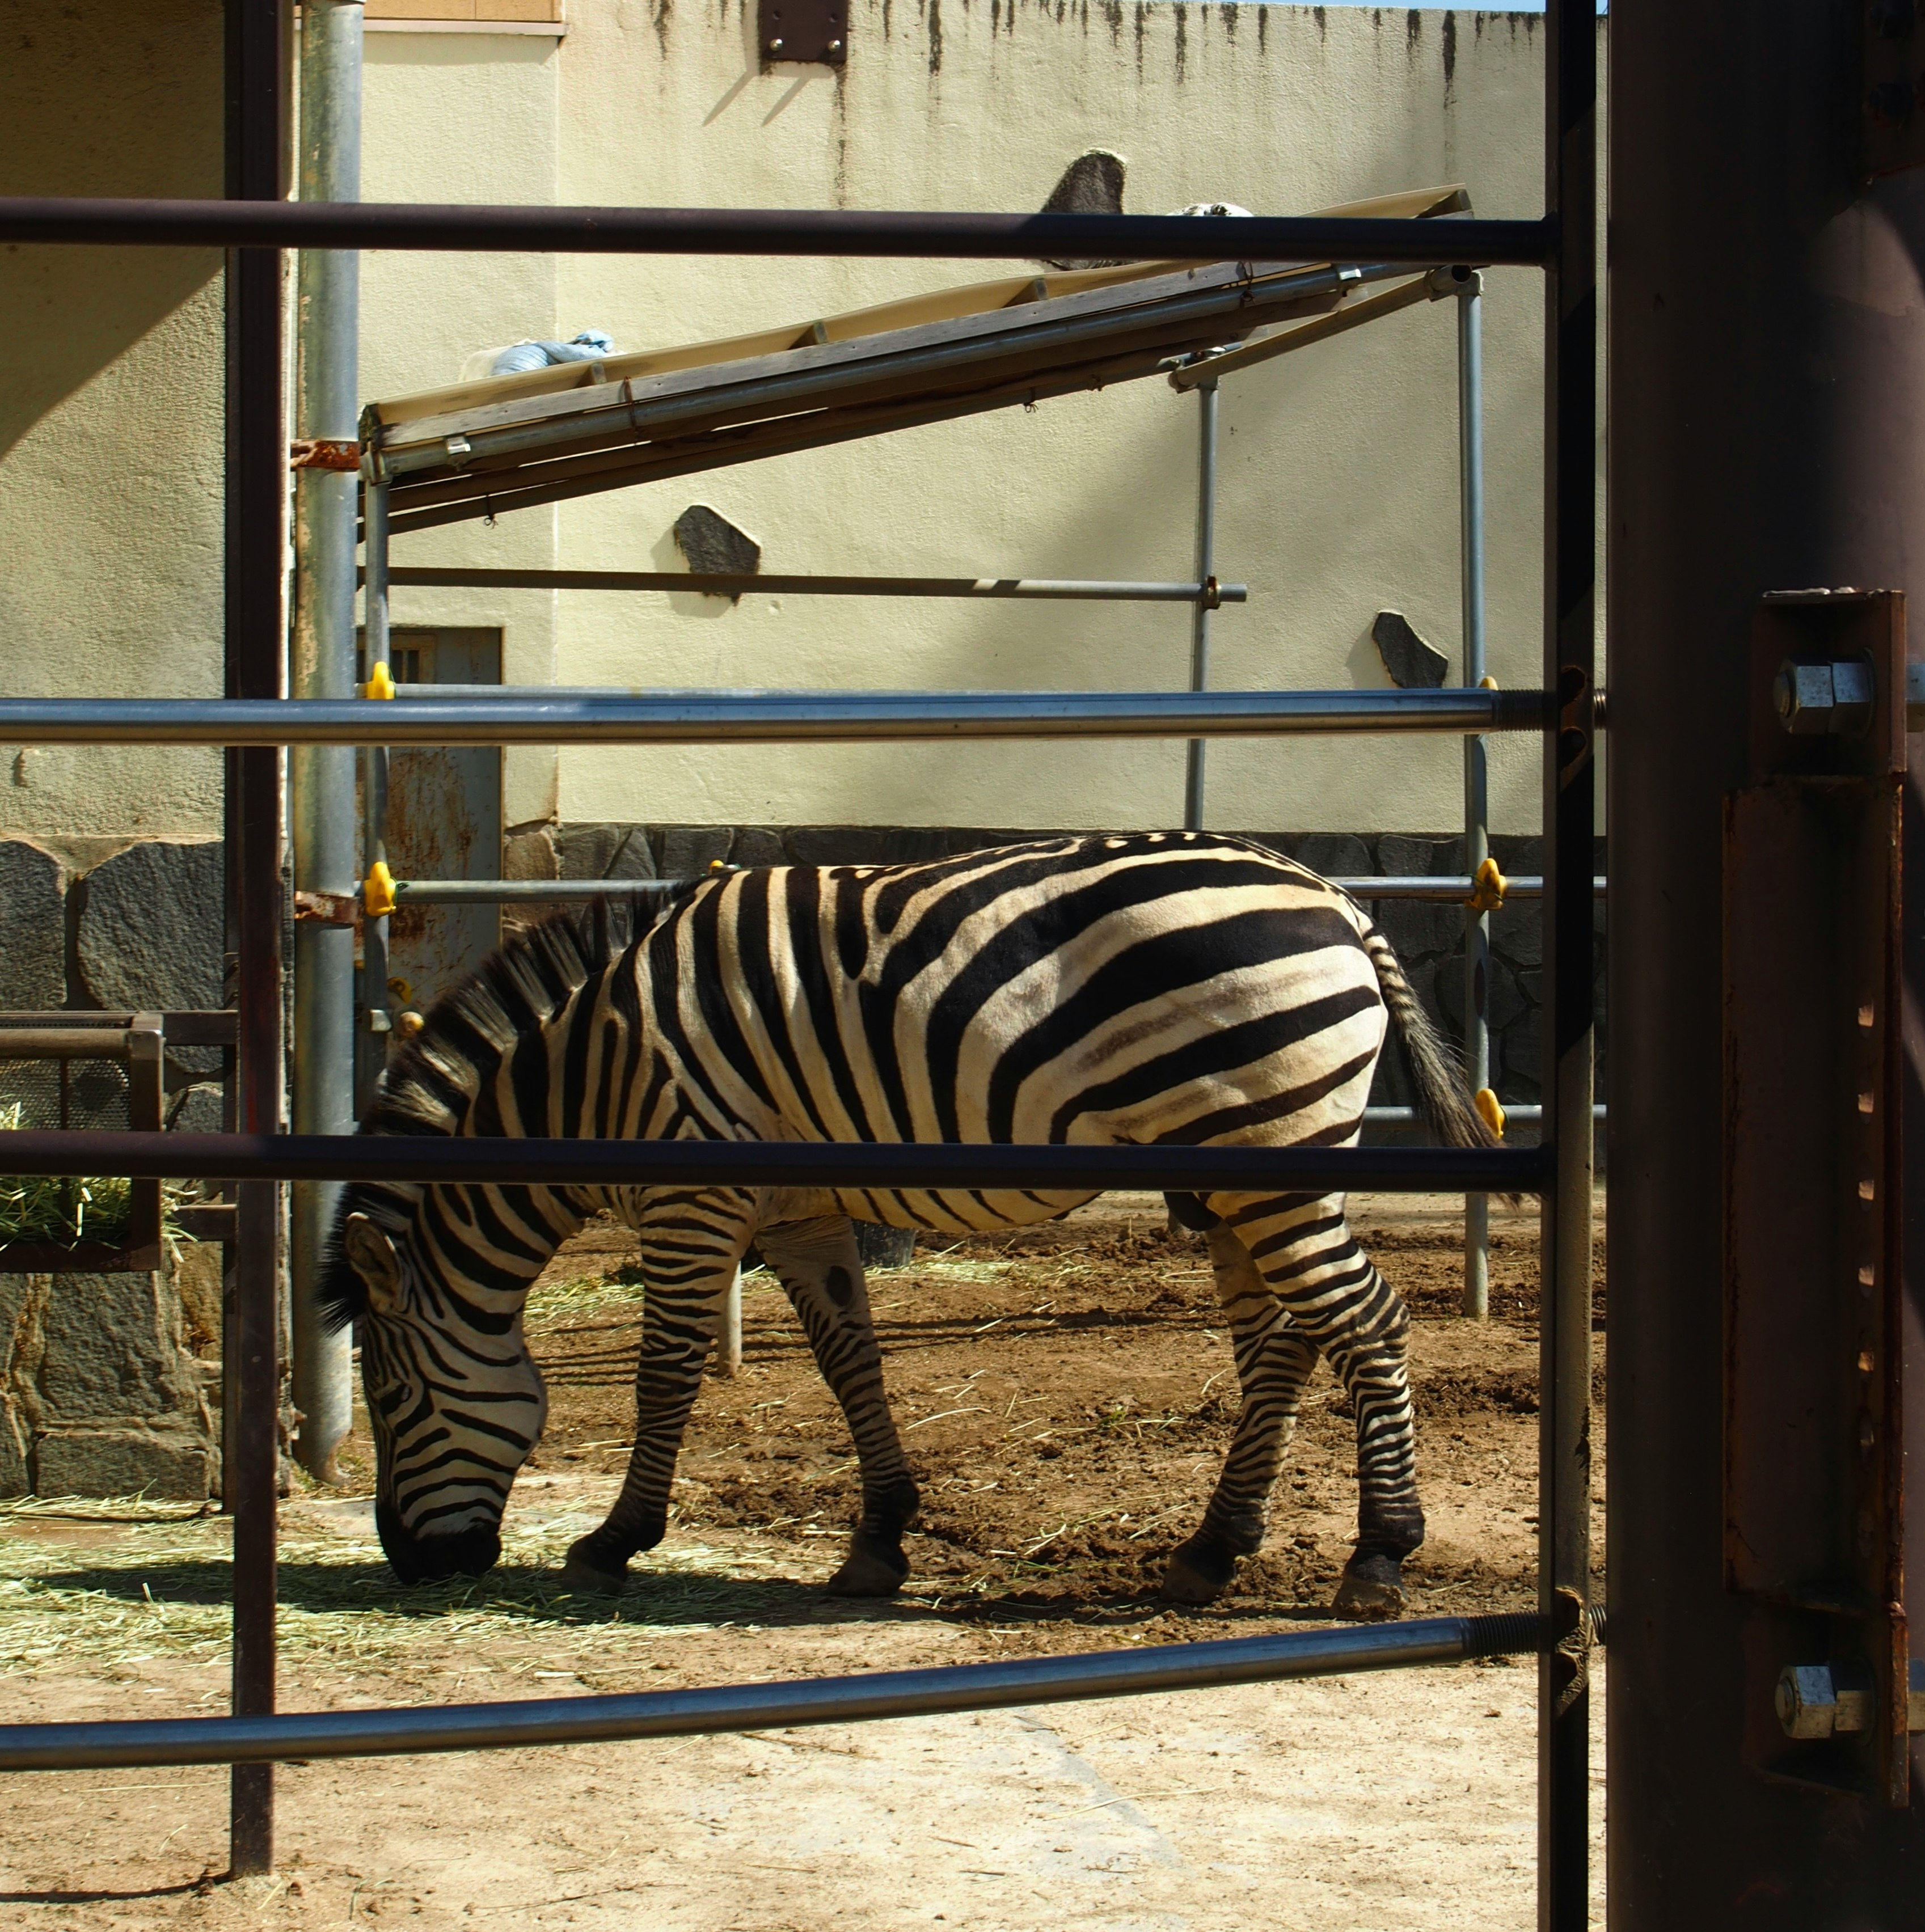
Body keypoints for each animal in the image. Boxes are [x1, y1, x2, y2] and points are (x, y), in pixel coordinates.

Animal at [322, 832, 1494, 1618]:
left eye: (392, 1397)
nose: (413, 1566)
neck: (593, 1072)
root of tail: (1335, 897)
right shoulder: (796, 1212)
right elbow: (851, 1362)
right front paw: (878, 1538)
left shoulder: (691, 1198)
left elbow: (666, 1372)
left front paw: (615, 1540)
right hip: (1237, 1172)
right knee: (1281, 1339)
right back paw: (1211, 1551)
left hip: (1264, 1156)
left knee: (1366, 1321)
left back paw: (1378, 1555)